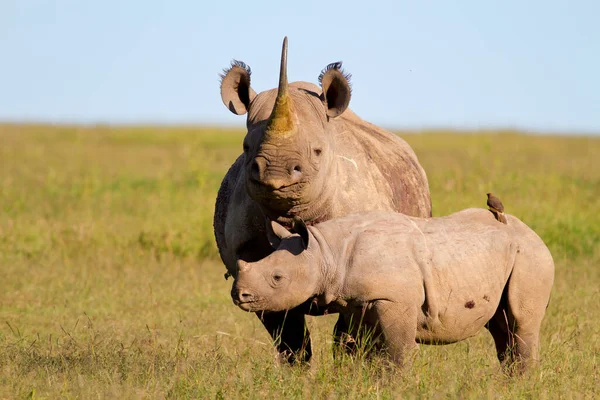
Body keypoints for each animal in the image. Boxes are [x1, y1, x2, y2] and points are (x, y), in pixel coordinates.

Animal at [232, 209, 556, 372]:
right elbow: (362, 348)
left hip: (531, 256)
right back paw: (509, 383)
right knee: (502, 329)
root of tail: (535, 235)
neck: (325, 252)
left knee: (521, 323)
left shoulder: (393, 299)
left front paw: (396, 386)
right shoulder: (357, 302)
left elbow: (397, 351)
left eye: (277, 278)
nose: (240, 295)